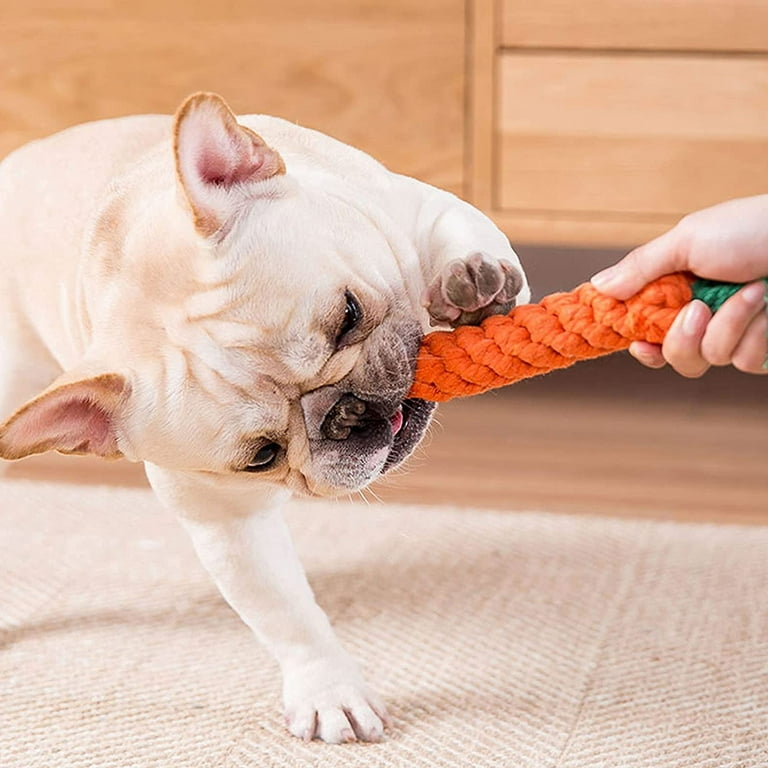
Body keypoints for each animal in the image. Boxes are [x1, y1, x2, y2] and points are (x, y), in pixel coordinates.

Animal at [0, 93, 528, 740]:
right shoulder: (229, 523)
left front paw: (473, 279)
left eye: (348, 316)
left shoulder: (405, 206)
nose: (344, 413)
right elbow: (285, 614)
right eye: (261, 456)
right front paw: (331, 691)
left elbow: (456, 224)